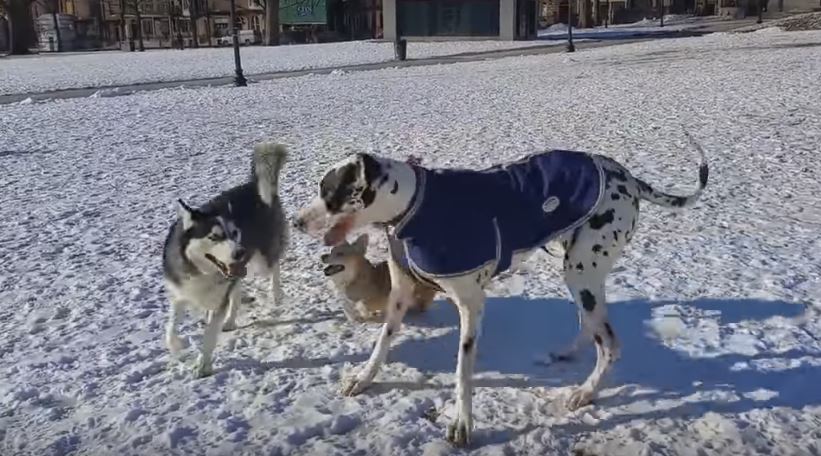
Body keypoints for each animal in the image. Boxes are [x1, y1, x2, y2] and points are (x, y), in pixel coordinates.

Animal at [163, 142, 288, 378]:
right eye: (214, 236)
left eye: (235, 233)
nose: (240, 252)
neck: (200, 272)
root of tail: (252, 186)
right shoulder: (181, 292)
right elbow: (170, 329)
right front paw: (178, 345)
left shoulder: (217, 302)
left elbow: (209, 335)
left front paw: (203, 365)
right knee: (237, 290)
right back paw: (231, 320)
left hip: (262, 260)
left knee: (274, 265)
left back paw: (276, 294)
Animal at [294, 138, 704, 446]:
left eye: (328, 191)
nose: (296, 222)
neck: (413, 206)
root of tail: (627, 176)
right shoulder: (399, 297)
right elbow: (382, 342)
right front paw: (364, 378)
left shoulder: (471, 304)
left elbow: (463, 371)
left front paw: (462, 424)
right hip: (578, 271)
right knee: (592, 325)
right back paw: (567, 354)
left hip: (582, 272)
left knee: (610, 344)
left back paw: (585, 392)